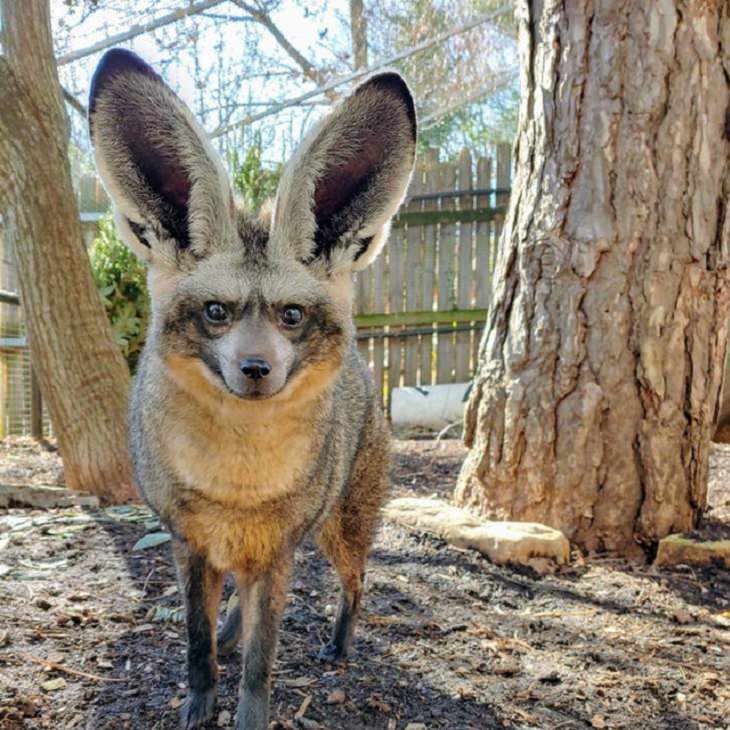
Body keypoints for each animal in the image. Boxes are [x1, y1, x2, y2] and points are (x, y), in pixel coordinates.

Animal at [87, 48, 416, 724]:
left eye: (291, 315)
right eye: (217, 312)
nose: (257, 370)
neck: (237, 485)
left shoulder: (278, 550)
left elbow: (261, 664)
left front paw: (249, 716)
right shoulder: (190, 545)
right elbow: (196, 643)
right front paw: (198, 704)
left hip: (338, 531)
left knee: (358, 582)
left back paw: (339, 644)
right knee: (240, 601)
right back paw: (234, 630)